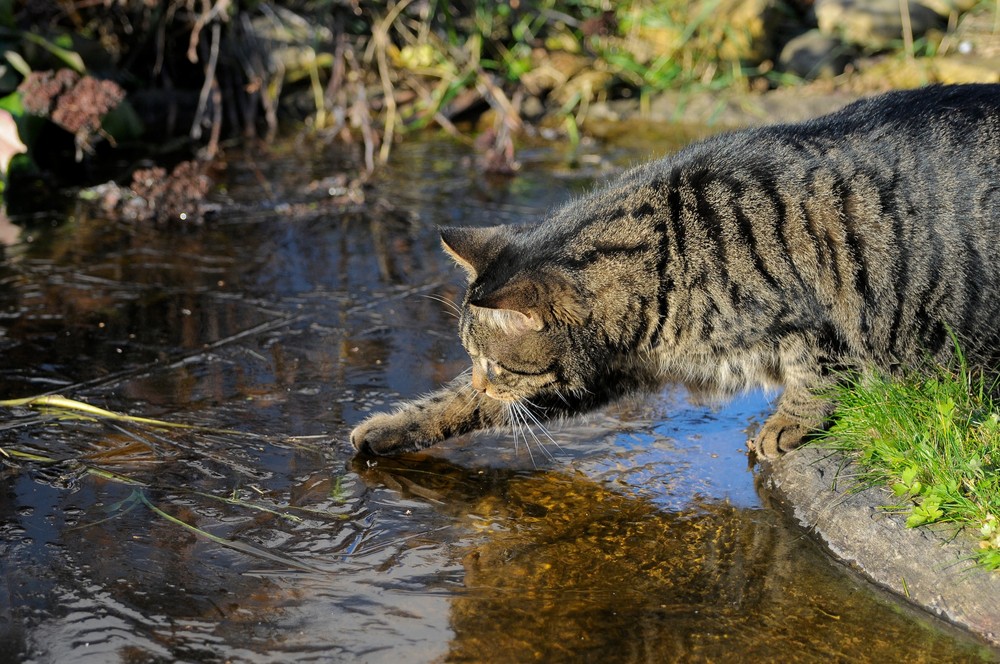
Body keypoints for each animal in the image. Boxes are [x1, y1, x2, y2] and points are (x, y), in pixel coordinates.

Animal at [350, 83, 1000, 460]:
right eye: (474, 362)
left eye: (495, 364)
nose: (486, 380)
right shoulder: (604, 372)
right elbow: (453, 404)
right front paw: (391, 426)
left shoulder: (812, 323)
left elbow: (815, 375)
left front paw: (786, 423)